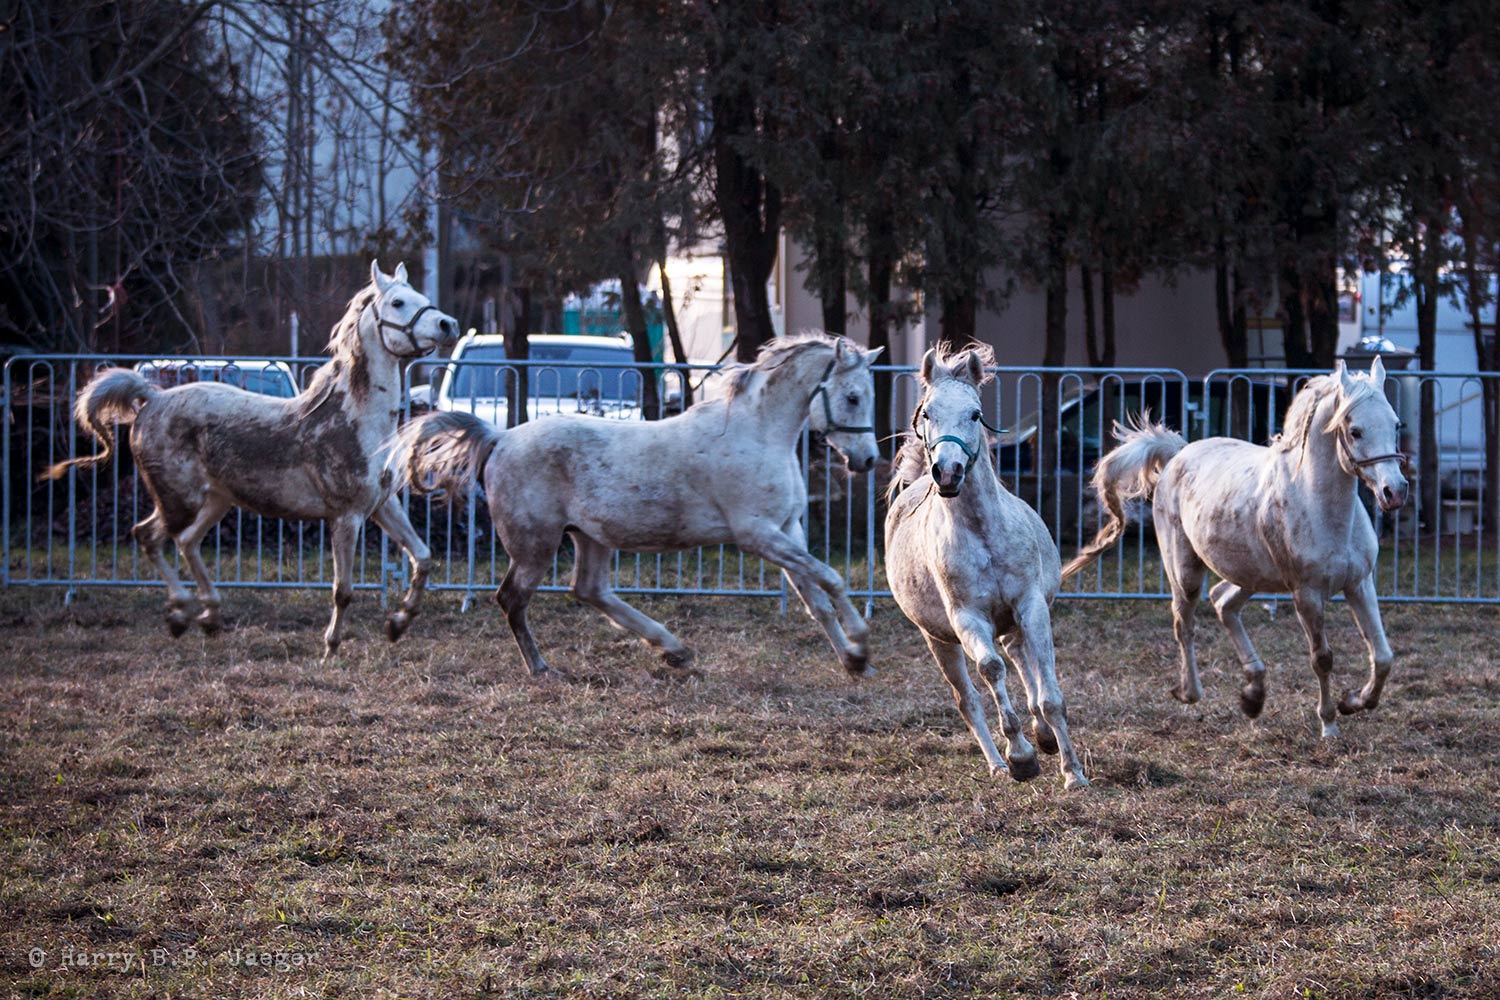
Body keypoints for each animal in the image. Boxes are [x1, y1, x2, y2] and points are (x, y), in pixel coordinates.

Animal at [46, 262, 456, 659]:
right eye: (398, 303)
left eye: (421, 296)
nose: (448, 324)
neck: (356, 419)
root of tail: (152, 398)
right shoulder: (346, 515)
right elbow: (343, 590)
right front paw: (331, 648)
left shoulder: (382, 506)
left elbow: (423, 557)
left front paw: (399, 623)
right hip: (180, 499)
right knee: (148, 536)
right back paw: (181, 613)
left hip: (216, 501)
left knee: (186, 541)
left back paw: (210, 616)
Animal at [399, 334, 882, 680]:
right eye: (852, 397)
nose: (867, 460)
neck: (758, 435)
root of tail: (499, 438)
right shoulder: (758, 534)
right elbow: (832, 579)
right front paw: (861, 643)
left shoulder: (788, 529)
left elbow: (816, 599)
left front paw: (853, 661)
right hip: (535, 544)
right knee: (512, 598)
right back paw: (542, 669)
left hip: (589, 536)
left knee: (589, 590)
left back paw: (674, 650)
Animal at [888, 347, 1092, 791]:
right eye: (927, 413)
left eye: (975, 414)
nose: (948, 472)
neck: (983, 533)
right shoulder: (968, 619)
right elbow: (991, 670)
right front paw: (1021, 759)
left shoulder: (1031, 607)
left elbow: (1050, 695)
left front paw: (1073, 773)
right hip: (939, 639)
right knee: (968, 699)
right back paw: (999, 763)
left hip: (1012, 620)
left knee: (1022, 659)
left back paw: (1045, 736)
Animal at [1068, 358, 1404, 734]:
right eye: (1355, 430)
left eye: (1395, 424)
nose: (1395, 491)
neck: (1322, 507)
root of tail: (1177, 454)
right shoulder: (1306, 594)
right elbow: (1322, 659)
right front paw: (1329, 722)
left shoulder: (1359, 583)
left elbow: (1383, 655)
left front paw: (1355, 701)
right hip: (1185, 572)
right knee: (1184, 622)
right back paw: (1191, 692)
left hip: (1251, 575)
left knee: (1222, 602)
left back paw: (1253, 694)